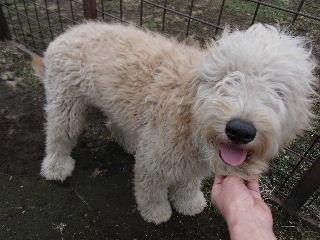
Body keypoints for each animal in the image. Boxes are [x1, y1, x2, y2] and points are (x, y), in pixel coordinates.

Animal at [31, 21, 316, 224]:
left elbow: (188, 183)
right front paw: (156, 212)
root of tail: (68, 32)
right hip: (66, 105)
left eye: (279, 91)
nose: (240, 130)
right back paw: (56, 166)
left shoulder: (194, 161)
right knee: (59, 134)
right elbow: (151, 189)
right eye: (226, 78)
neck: (191, 113)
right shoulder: (154, 159)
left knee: (114, 123)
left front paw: (188, 202)